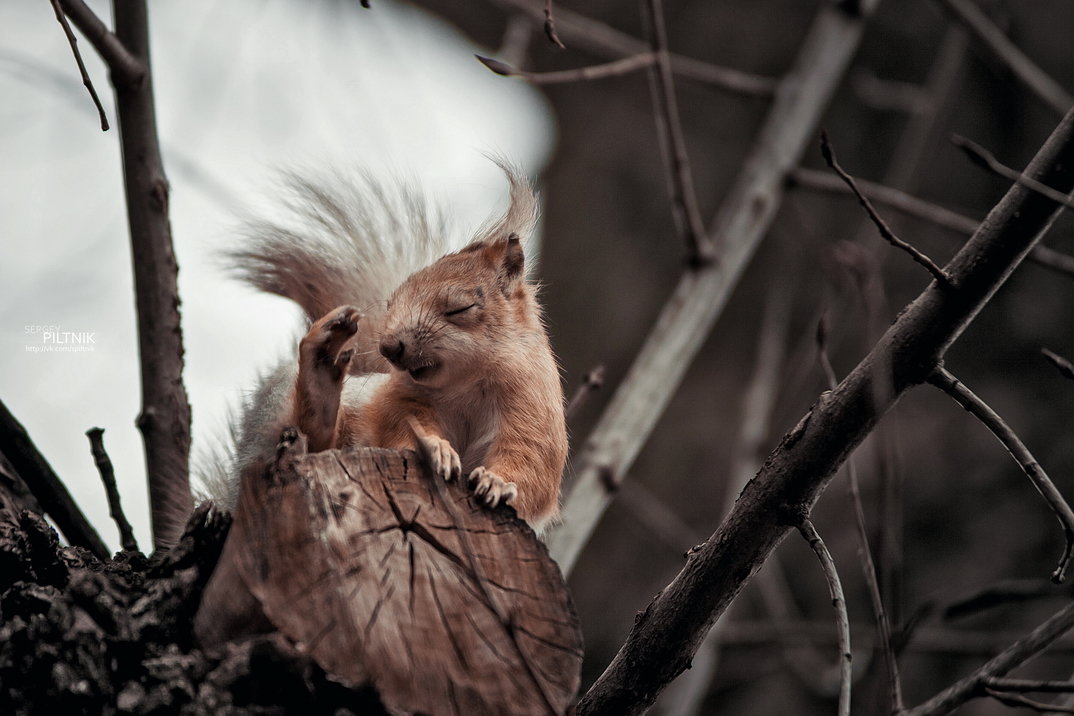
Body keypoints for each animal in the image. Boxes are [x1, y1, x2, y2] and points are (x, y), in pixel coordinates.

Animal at [222, 164, 567, 532]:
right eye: (392, 302)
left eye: (460, 308)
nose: (389, 347)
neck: (466, 383)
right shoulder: (403, 397)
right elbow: (398, 421)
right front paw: (437, 448)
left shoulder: (532, 411)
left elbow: (531, 467)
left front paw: (498, 483)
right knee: (308, 442)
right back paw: (320, 375)